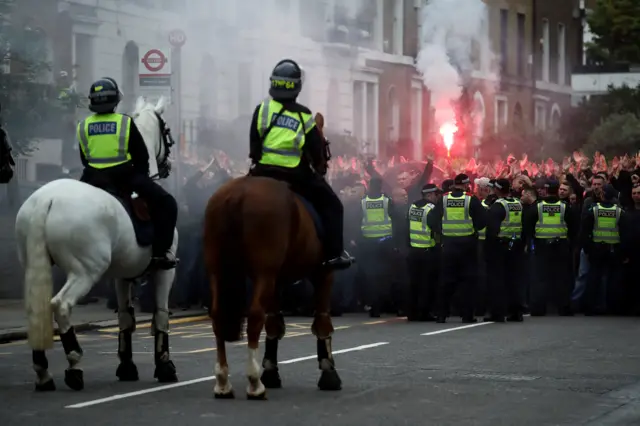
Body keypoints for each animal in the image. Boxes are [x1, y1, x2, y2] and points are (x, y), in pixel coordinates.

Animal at [15, 96, 180, 392]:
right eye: (167, 132)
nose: (168, 165)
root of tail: (46, 200)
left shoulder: (123, 275)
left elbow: (125, 318)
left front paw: (127, 366)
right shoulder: (165, 270)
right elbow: (161, 316)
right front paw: (165, 366)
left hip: (35, 266)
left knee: (37, 309)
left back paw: (43, 373)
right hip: (85, 270)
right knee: (61, 305)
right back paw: (74, 364)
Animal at [202, 112, 342, 400]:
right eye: (324, 142)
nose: (323, 168)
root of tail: (237, 194)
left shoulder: (277, 280)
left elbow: (275, 323)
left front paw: (271, 371)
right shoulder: (324, 273)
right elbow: (322, 322)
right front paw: (329, 372)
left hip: (218, 269)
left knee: (219, 315)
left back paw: (223, 382)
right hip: (263, 272)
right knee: (255, 315)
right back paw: (254, 382)